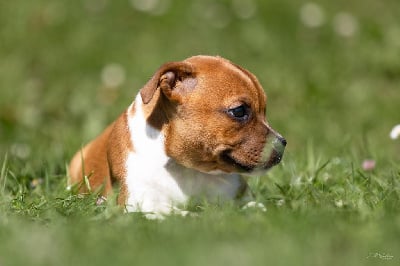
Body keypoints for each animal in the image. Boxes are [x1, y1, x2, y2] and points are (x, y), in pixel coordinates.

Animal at [69, 55, 288, 216]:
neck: (189, 169)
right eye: (240, 111)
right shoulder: (138, 202)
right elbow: (178, 214)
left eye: (265, 111)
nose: (282, 142)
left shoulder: (240, 197)